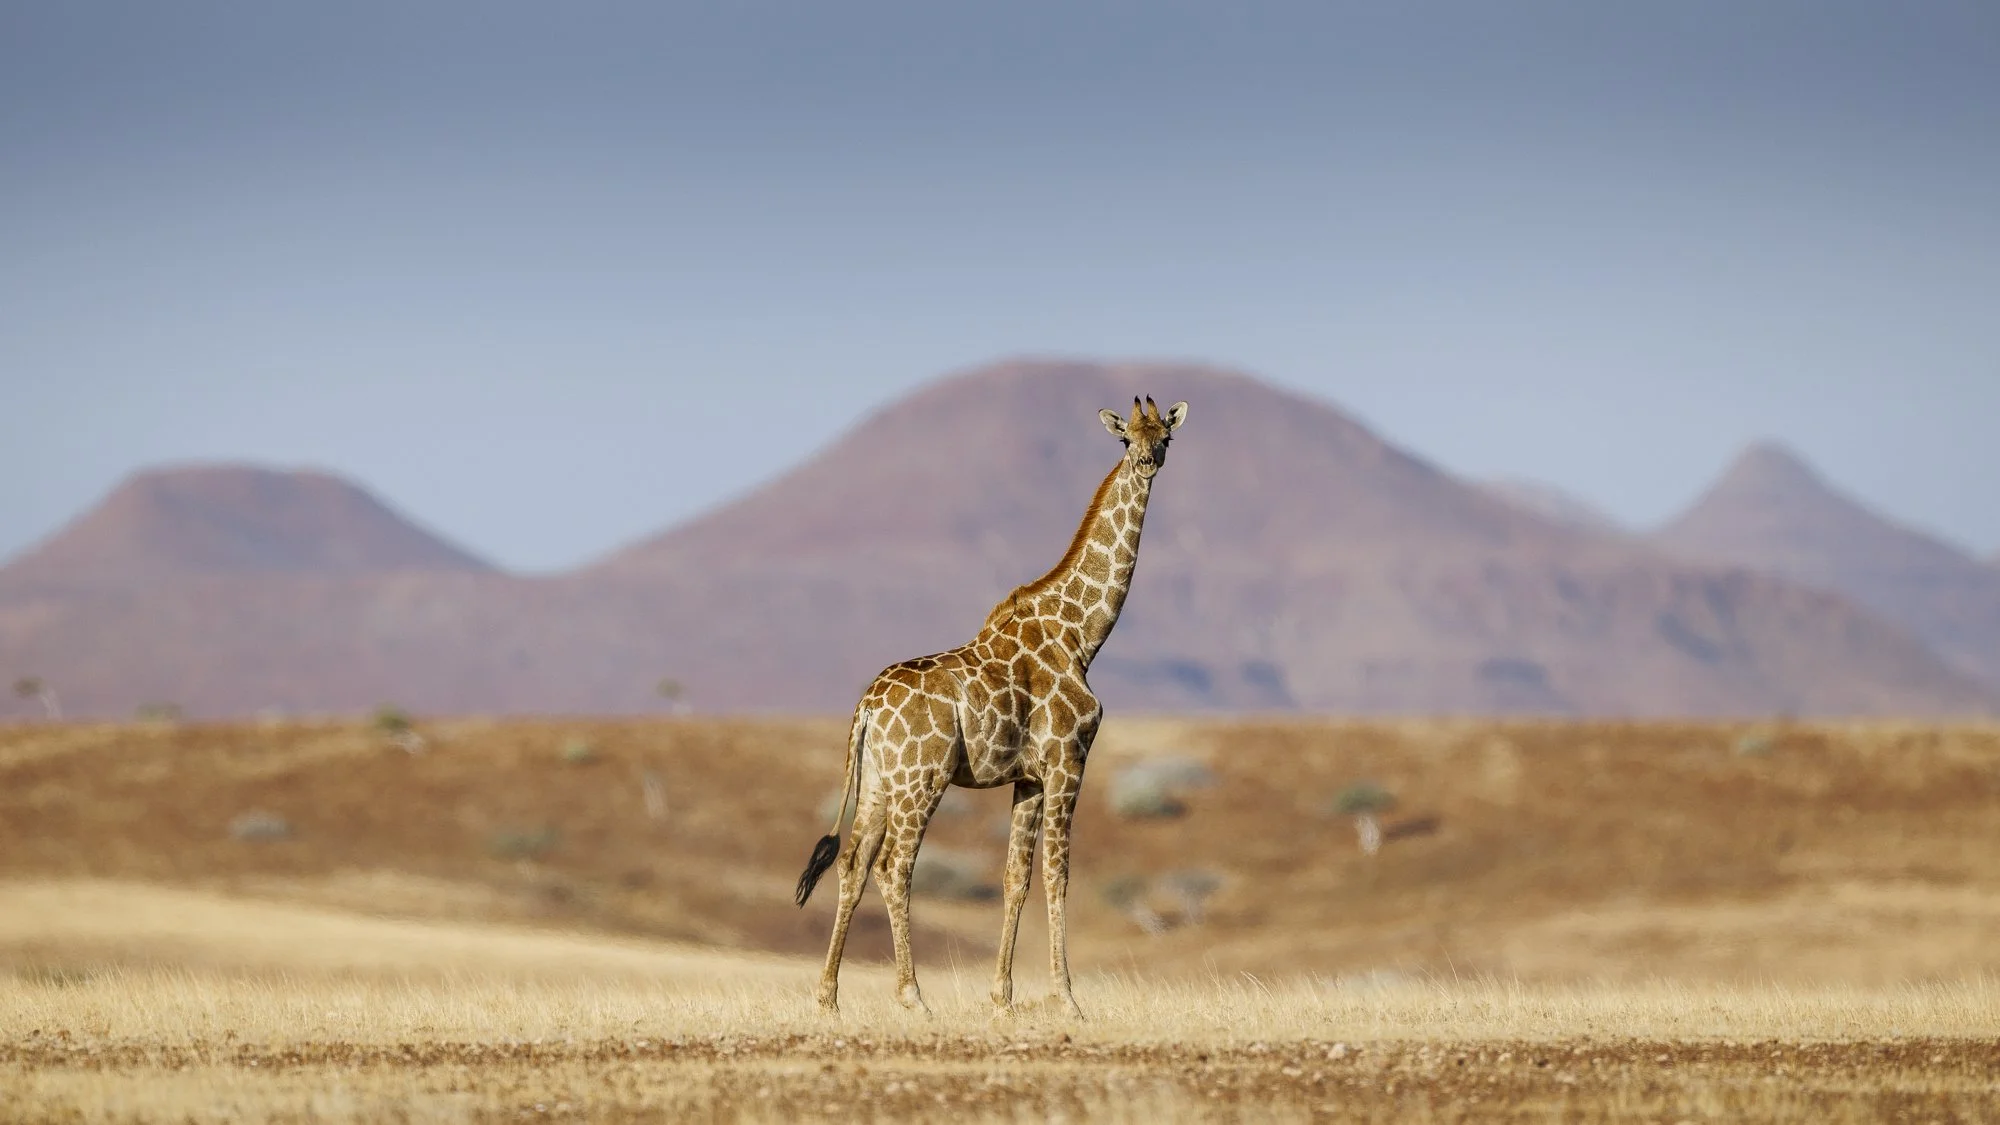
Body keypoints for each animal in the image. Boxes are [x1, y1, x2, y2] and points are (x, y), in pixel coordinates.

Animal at [795, 394, 1188, 1018]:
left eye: (1165, 436)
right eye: (1127, 439)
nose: (1149, 463)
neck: (1081, 635)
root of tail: (865, 709)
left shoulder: (1027, 776)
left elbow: (1015, 878)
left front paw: (1001, 997)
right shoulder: (1067, 761)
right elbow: (1057, 875)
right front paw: (1066, 998)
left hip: (880, 780)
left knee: (853, 863)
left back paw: (828, 998)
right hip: (922, 778)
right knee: (893, 866)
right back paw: (913, 997)